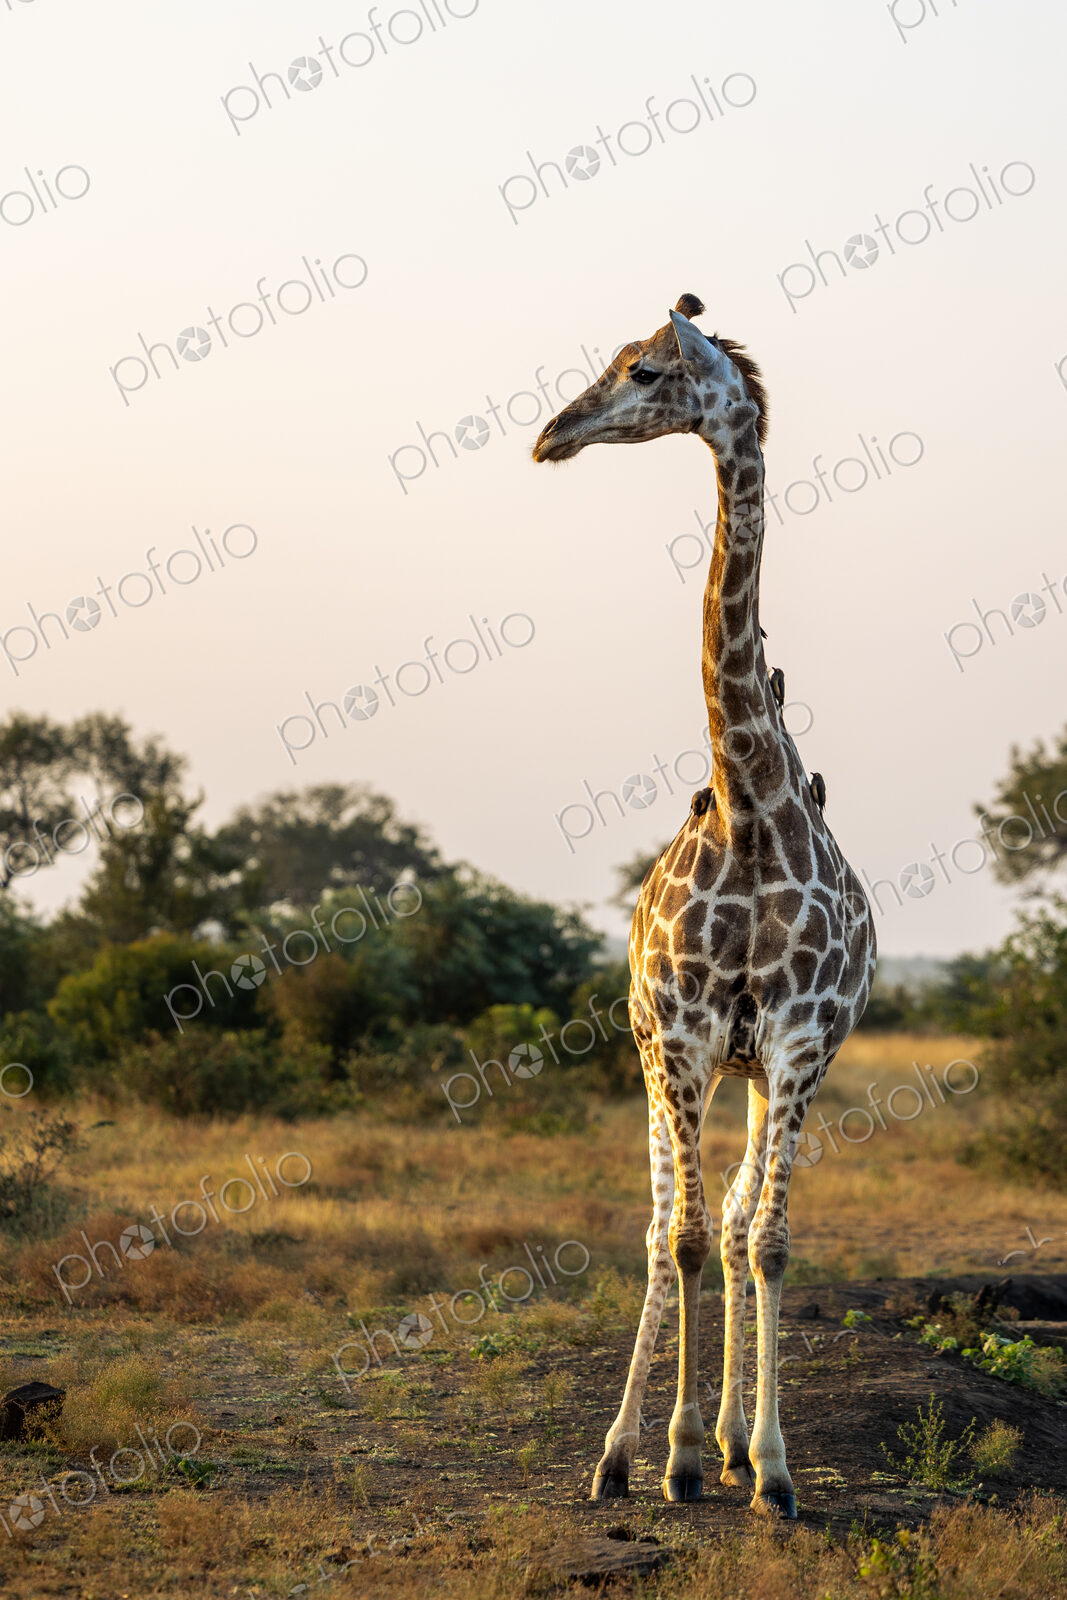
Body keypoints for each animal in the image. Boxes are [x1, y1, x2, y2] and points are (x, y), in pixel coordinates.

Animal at [532, 295, 876, 1518]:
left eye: (641, 371)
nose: (550, 435)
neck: (749, 804)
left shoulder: (796, 1040)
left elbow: (761, 1240)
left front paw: (768, 1466)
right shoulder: (680, 1032)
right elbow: (677, 1239)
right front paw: (672, 1457)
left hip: (746, 1070)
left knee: (727, 1223)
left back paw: (732, 1438)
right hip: (651, 1054)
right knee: (655, 1229)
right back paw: (620, 1453)